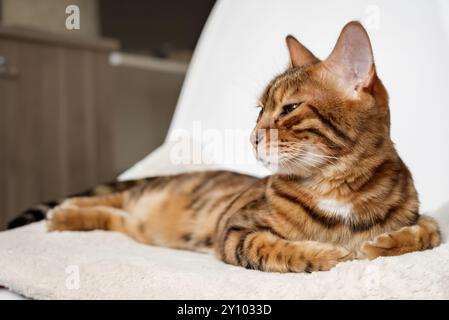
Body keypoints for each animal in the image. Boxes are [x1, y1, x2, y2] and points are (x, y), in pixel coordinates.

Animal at [8, 21, 440, 272]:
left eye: (289, 108)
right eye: (260, 109)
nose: (253, 136)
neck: (336, 186)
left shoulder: (421, 219)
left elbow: (428, 232)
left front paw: (381, 243)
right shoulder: (236, 229)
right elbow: (275, 249)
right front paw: (323, 254)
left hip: (139, 225)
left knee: (116, 214)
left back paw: (69, 214)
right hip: (147, 196)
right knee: (114, 199)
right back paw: (64, 213)